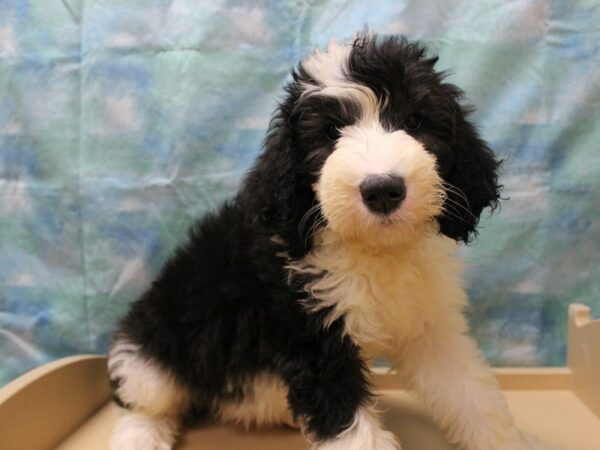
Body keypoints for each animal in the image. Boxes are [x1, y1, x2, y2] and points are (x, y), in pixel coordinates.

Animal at [109, 34, 548, 450]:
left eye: (414, 121)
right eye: (331, 132)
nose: (382, 190)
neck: (373, 248)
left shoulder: (429, 326)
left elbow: (472, 394)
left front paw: (508, 442)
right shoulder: (313, 336)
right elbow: (350, 428)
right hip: (153, 348)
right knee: (142, 400)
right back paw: (140, 437)